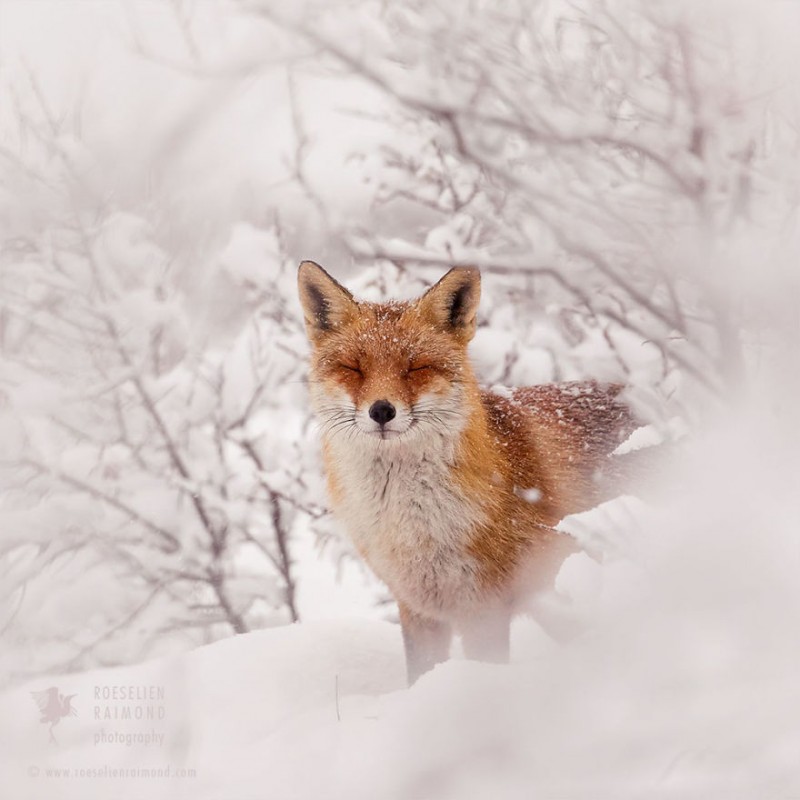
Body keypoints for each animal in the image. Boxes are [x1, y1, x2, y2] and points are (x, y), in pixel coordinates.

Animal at [296, 260, 640, 680]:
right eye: (353, 368)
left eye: (416, 367)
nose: (381, 411)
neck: (413, 527)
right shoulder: (419, 608)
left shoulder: (484, 607)